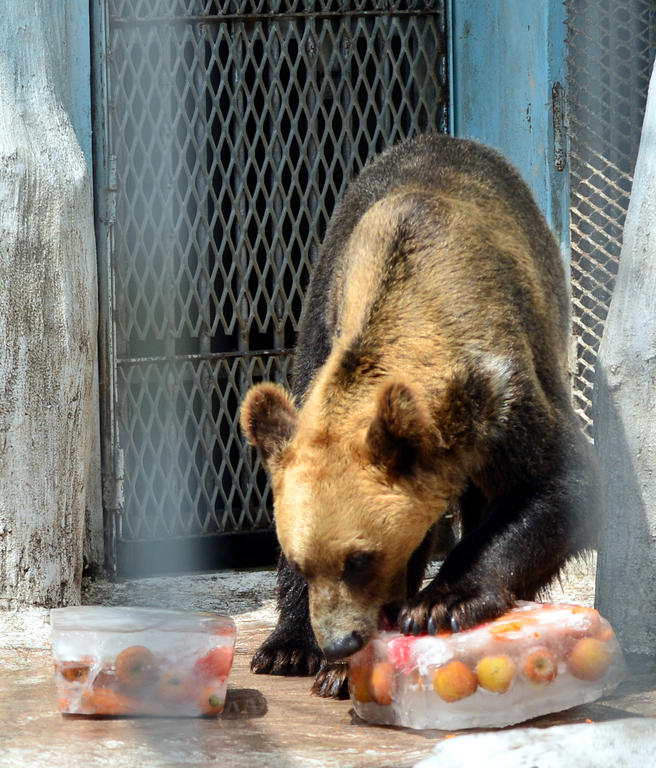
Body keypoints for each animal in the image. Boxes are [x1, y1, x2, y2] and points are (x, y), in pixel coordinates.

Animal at [240, 135, 600, 700]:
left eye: (360, 559)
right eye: (302, 560)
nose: (340, 642)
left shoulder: (503, 391)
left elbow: (559, 480)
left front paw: (442, 601)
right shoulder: (322, 341)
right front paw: (307, 652)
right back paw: (291, 649)